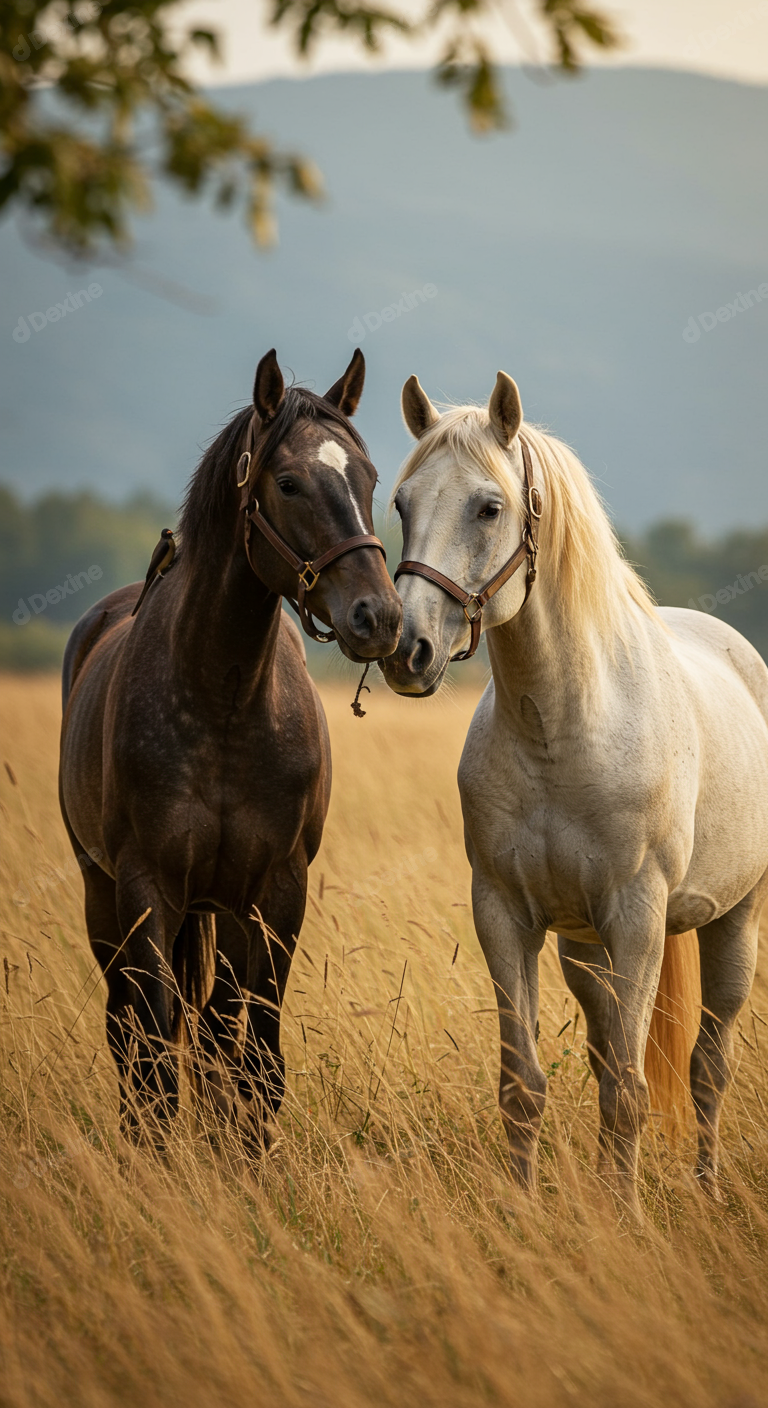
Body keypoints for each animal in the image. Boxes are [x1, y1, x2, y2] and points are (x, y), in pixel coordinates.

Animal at [59, 348, 402, 1149]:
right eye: (288, 483)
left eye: (371, 479)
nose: (378, 617)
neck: (224, 700)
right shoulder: (146, 888)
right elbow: (158, 1049)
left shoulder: (276, 890)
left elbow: (249, 1053)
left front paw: (242, 1154)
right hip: (102, 893)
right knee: (128, 1028)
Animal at [381, 369, 768, 1211]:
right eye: (400, 504)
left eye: (488, 507)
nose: (406, 649)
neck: (561, 731)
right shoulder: (505, 915)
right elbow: (524, 1084)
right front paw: (524, 1209)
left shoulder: (637, 917)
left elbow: (630, 1090)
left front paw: (624, 1215)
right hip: (583, 951)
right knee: (605, 1058)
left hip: (733, 923)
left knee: (708, 1064)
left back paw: (704, 1187)